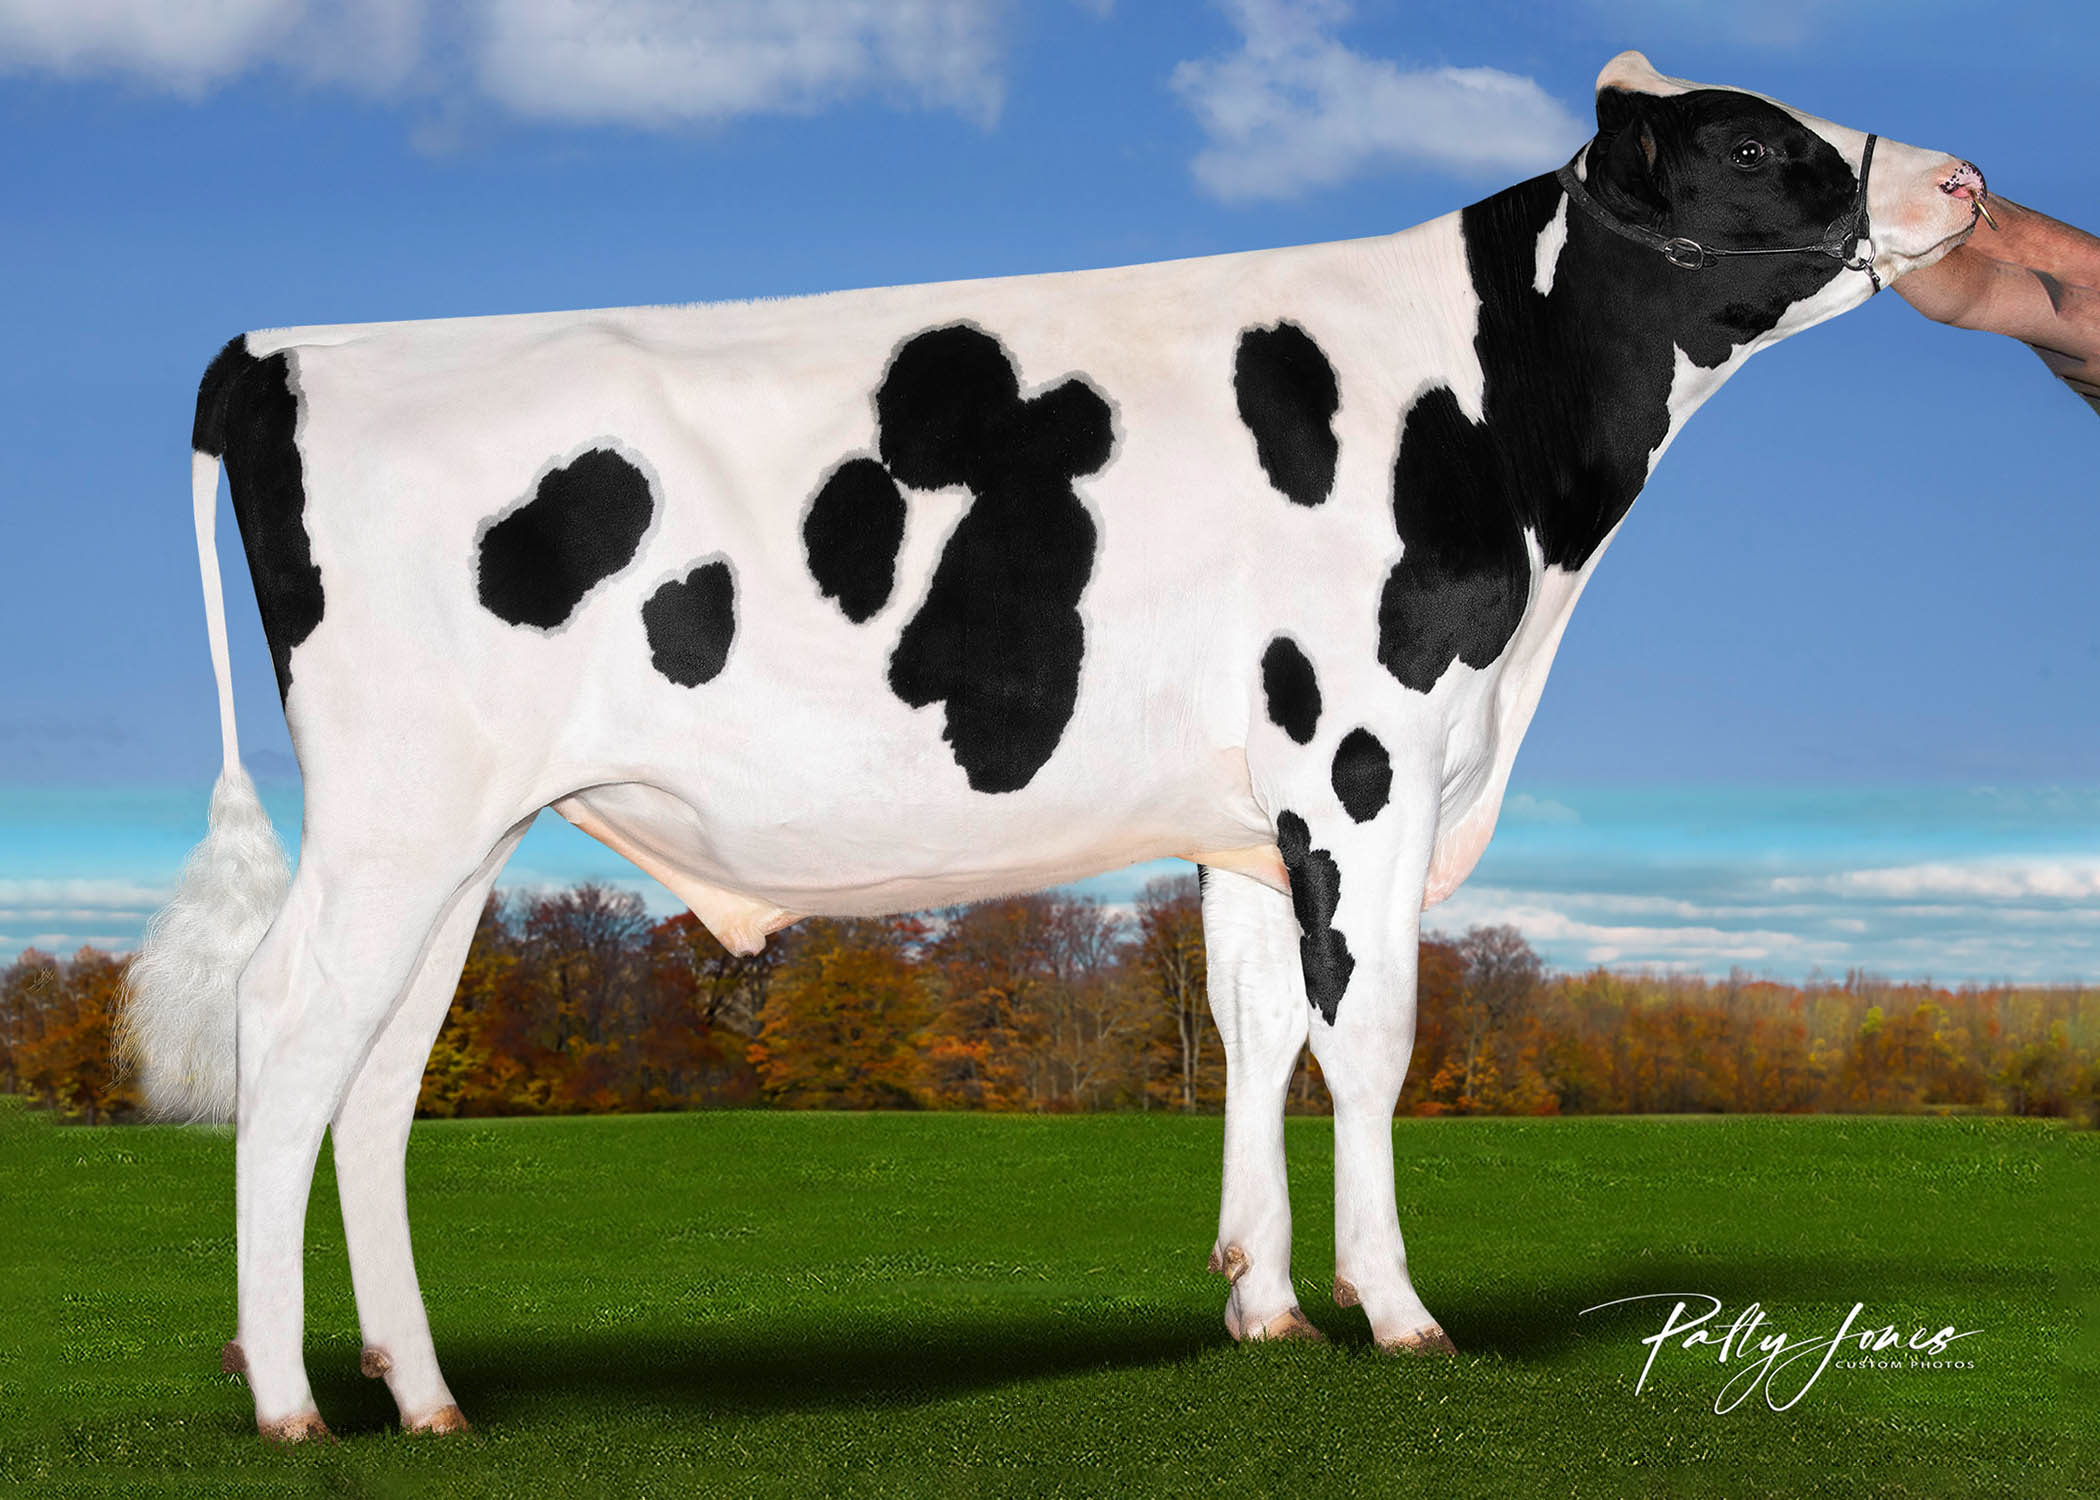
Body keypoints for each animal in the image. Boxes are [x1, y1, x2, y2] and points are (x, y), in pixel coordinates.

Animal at [120, 51, 1991, 1442]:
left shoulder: (1254, 811)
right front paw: (1397, 1313)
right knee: (287, 1022)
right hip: (397, 805)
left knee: (374, 1071)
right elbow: (1368, 1038)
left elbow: (1254, 1032)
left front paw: (1264, 1307)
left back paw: (423, 1394)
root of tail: (283, 351)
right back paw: (287, 1402)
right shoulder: (1364, 760)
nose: (1967, 181)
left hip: (459, 835)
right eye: (1753, 139)